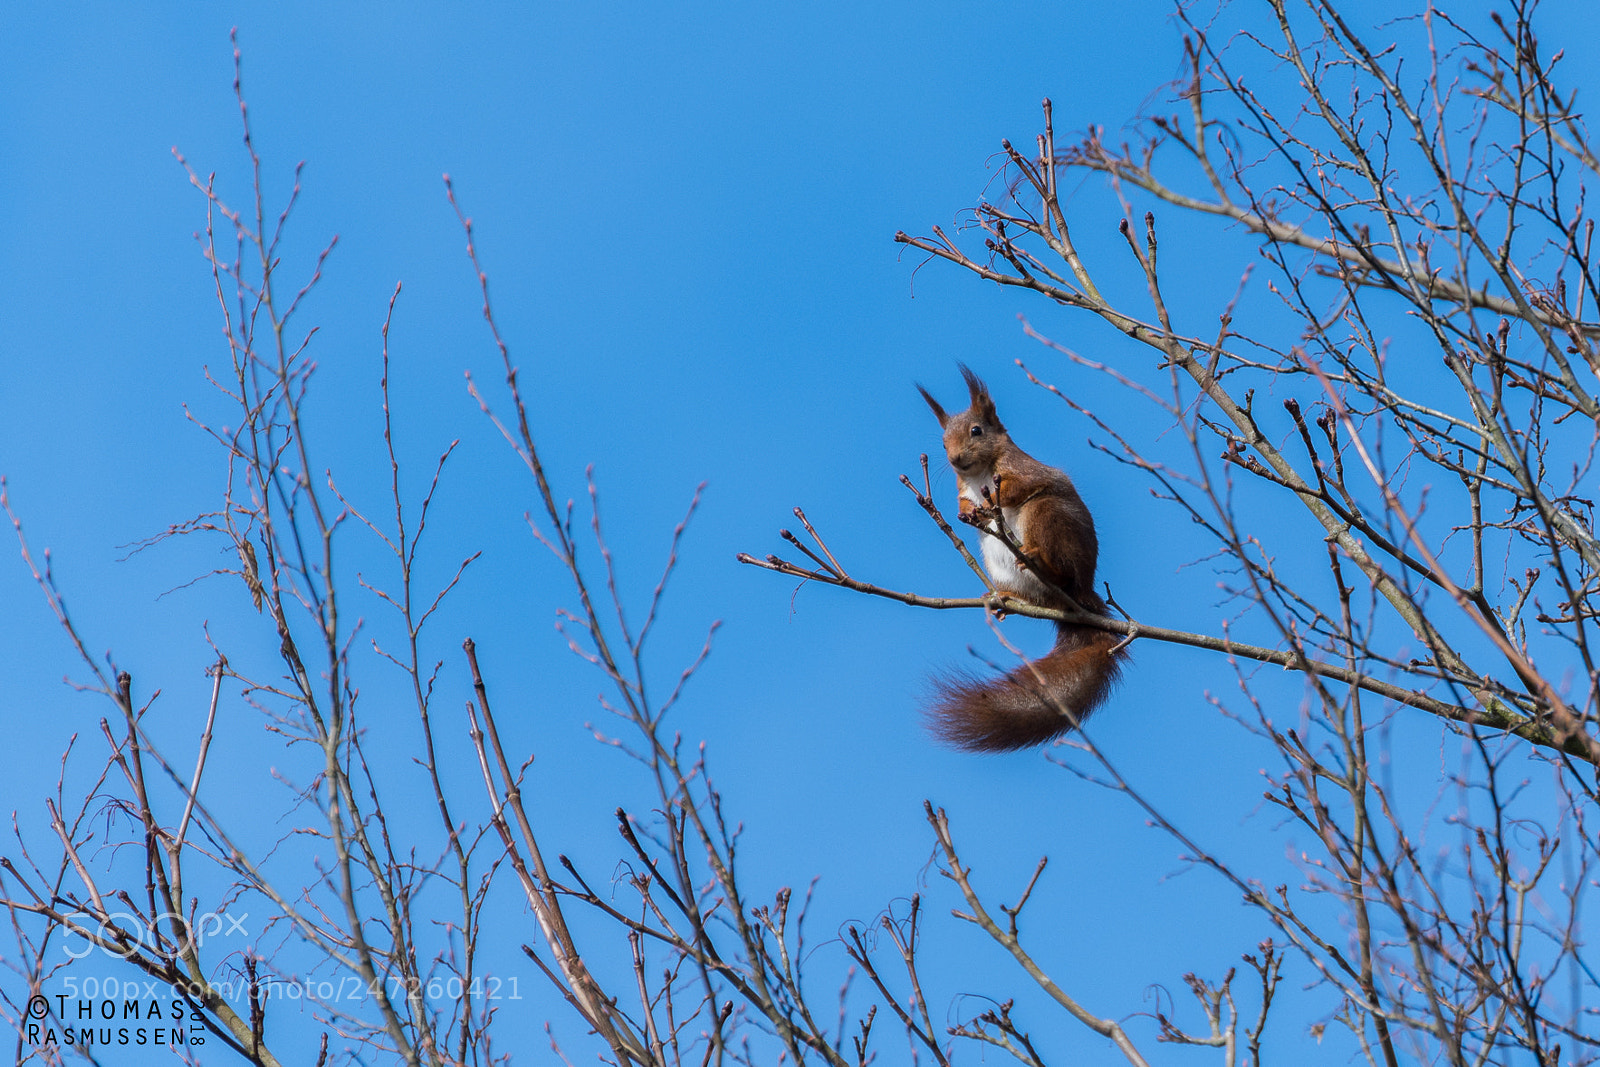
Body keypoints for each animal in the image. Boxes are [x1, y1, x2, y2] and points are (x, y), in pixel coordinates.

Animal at [916, 366, 1123, 750]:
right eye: (942, 442)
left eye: (977, 431)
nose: (954, 459)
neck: (979, 474)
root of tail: (1082, 594)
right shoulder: (961, 485)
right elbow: (961, 501)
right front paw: (967, 510)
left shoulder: (1024, 470)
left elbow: (1019, 487)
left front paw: (989, 502)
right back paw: (1006, 596)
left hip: (1047, 516)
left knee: (1059, 565)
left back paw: (1042, 563)